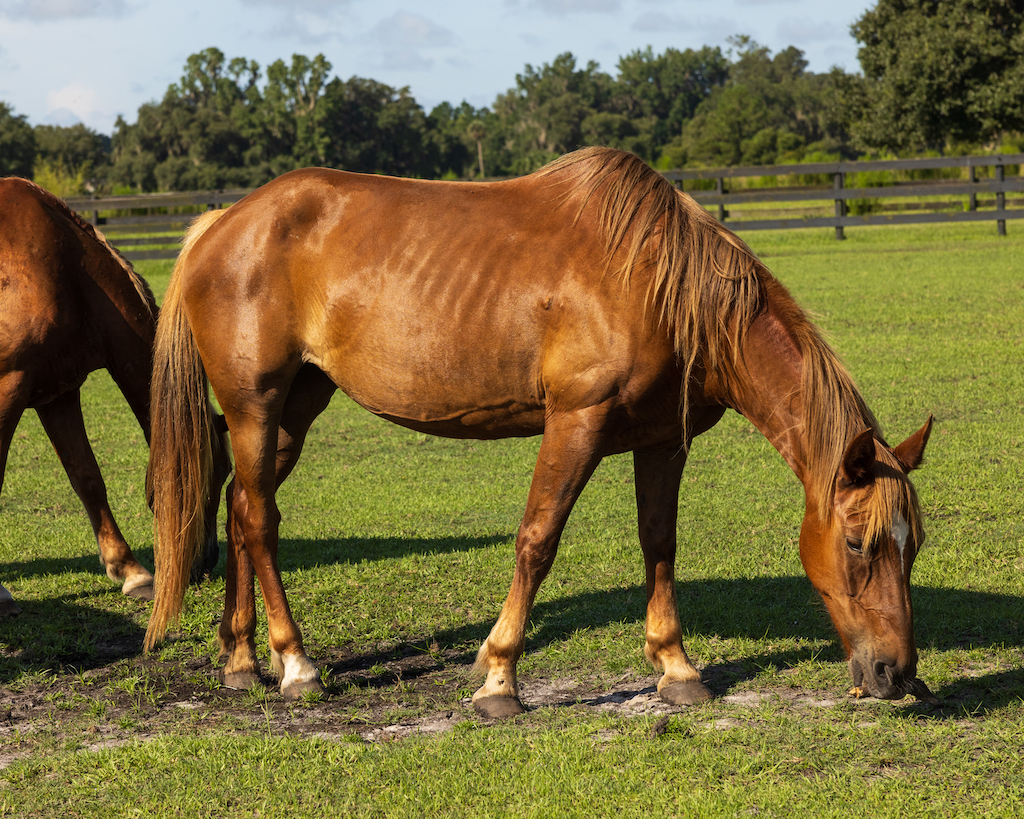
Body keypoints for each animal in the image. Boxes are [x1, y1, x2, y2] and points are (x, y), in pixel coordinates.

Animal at [0, 178, 227, 617]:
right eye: (217, 472)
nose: (206, 564)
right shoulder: (8, 388)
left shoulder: (57, 395)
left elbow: (88, 478)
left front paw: (131, 571)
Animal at [144, 147, 936, 716]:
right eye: (860, 543)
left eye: (915, 545)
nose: (896, 672)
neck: (660, 283)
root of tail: (221, 222)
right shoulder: (576, 422)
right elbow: (536, 541)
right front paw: (499, 679)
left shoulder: (663, 440)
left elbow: (659, 544)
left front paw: (676, 667)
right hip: (256, 405)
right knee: (261, 521)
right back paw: (296, 665)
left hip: (295, 408)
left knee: (242, 508)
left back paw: (242, 661)